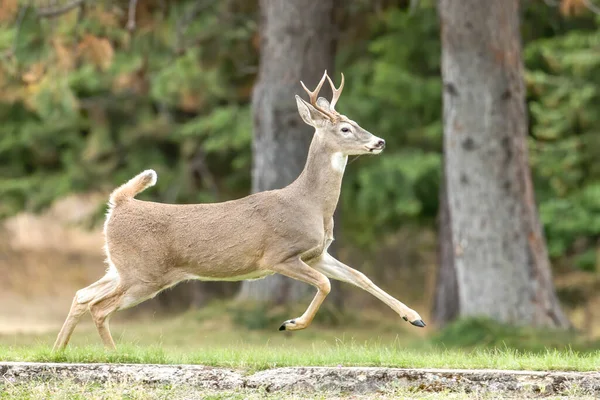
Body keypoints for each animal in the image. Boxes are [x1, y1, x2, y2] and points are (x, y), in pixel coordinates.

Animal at [54, 72, 424, 350]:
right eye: (345, 129)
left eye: (356, 122)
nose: (379, 142)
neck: (311, 205)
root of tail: (119, 203)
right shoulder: (278, 255)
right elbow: (325, 285)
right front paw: (290, 323)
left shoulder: (317, 253)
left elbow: (361, 277)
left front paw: (414, 317)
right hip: (144, 274)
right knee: (99, 307)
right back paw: (113, 354)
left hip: (121, 268)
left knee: (82, 295)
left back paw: (59, 350)